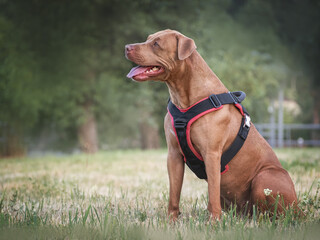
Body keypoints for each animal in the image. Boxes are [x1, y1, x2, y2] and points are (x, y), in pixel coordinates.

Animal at [125, 30, 298, 221]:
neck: (184, 95)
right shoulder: (174, 155)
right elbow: (174, 194)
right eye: (148, 39)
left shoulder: (212, 154)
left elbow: (212, 192)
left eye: (156, 44)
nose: (127, 47)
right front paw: (171, 220)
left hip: (265, 176)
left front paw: (214, 221)